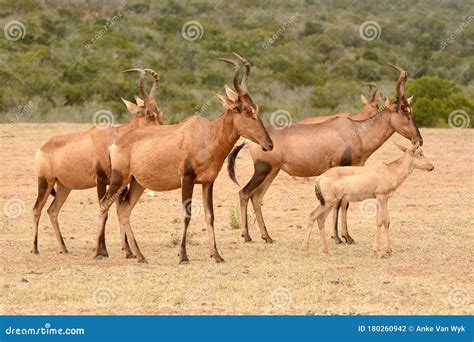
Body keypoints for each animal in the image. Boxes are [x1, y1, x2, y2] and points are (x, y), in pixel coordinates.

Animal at [32, 68, 161, 255]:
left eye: (159, 112)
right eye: (149, 114)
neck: (112, 138)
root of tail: (42, 148)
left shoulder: (120, 183)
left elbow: (117, 210)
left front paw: (127, 251)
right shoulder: (100, 180)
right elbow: (104, 210)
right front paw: (102, 250)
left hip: (64, 186)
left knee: (52, 210)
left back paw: (63, 248)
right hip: (45, 182)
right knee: (37, 209)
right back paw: (35, 249)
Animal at [95, 53, 274, 264]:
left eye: (256, 108)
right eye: (246, 110)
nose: (269, 145)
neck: (205, 134)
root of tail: (115, 143)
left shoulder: (208, 182)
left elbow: (209, 216)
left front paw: (216, 255)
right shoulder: (187, 180)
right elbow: (186, 215)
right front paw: (183, 256)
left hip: (137, 183)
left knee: (123, 210)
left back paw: (139, 255)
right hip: (119, 179)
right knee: (104, 204)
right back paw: (99, 252)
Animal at [227, 65, 422, 246]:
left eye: (411, 109)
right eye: (403, 109)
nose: (418, 140)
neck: (356, 131)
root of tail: (251, 140)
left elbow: (345, 203)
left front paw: (345, 236)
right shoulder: (339, 168)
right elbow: (340, 202)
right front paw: (339, 237)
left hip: (272, 172)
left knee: (257, 197)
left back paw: (266, 236)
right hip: (262, 170)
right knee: (244, 193)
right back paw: (247, 236)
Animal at [304, 144, 434, 256]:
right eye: (420, 153)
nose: (431, 167)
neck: (389, 170)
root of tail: (320, 178)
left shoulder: (384, 198)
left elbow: (387, 221)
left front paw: (389, 251)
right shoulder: (381, 196)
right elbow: (380, 221)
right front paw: (378, 252)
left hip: (329, 203)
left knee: (320, 219)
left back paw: (325, 251)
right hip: (329, 202)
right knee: (313, 215)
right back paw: (306, 249)